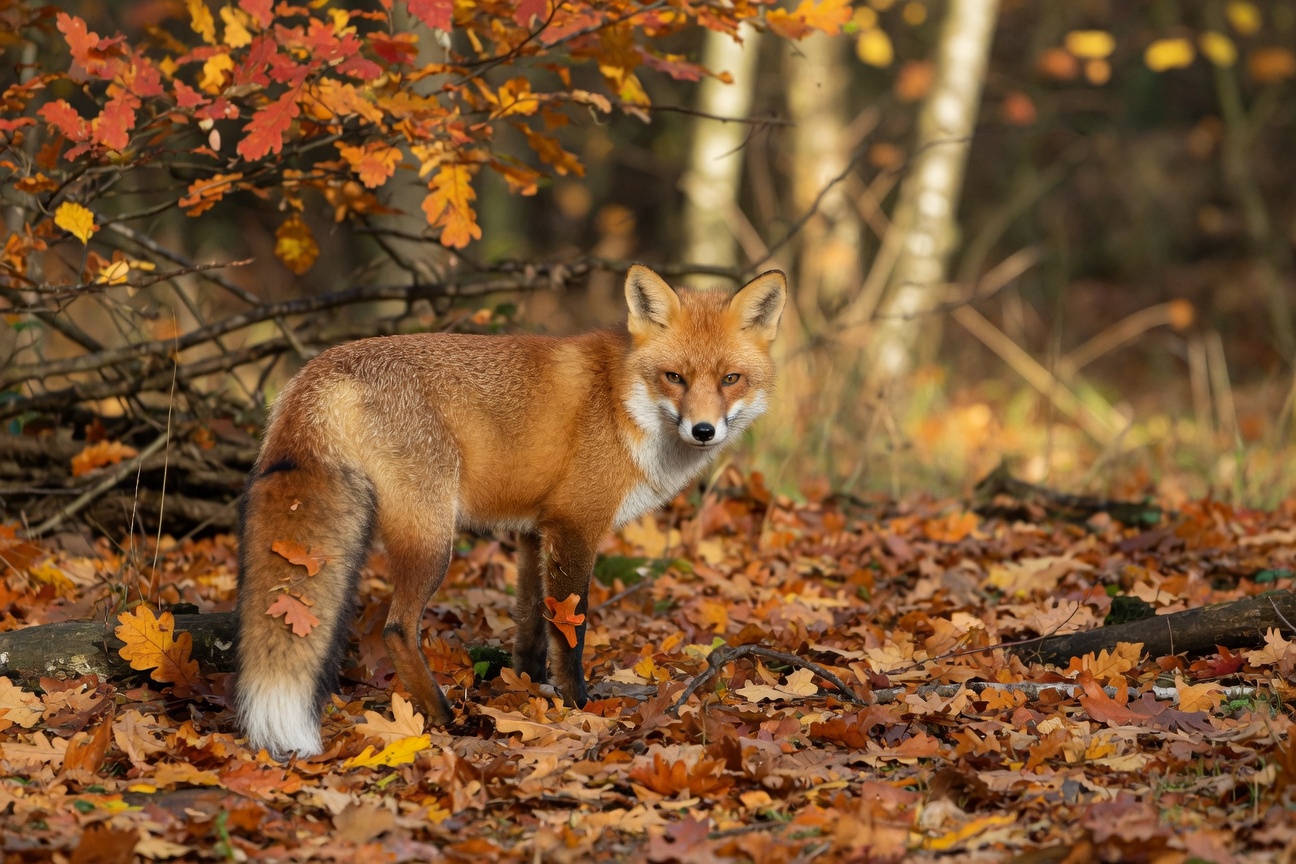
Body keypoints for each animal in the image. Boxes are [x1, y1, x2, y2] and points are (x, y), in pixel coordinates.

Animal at [233, 264, 786, 758]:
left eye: (731, 379)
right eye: (674, 377)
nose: (703, 431)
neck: (621, 402)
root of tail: (318, 368)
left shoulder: (532, 532)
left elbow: (532, 629)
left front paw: (526, 689)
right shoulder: (574, 526)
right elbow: (571, 631)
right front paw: (577, 703)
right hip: (432, 540)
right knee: (396, 628)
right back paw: (442, 715)